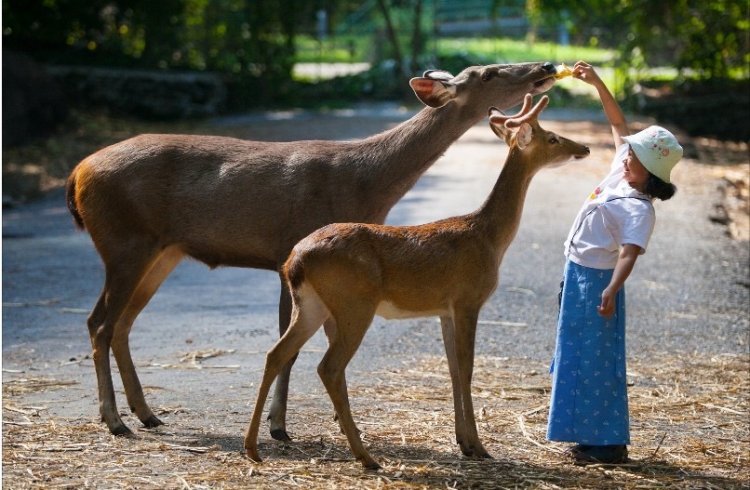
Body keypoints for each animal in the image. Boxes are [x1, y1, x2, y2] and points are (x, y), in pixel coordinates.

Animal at [69, 61, 564, 436]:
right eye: (489, 73)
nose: (545, 67)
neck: (368, 182)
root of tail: (78, 173)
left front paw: (298, 423)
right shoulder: (291, 251)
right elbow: (291, 344)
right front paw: (279, 426)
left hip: (163, 252)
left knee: (120, 324)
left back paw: (146, 414)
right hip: (125, 241)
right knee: (100, 323)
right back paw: (115, 420)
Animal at [247, 94, 592, 468]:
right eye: (553, 138)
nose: (584, 148)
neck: (488, 236)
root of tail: (295, 259)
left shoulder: (444, 310)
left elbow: (453, 369)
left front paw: (464, 442)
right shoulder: (468, 299)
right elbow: (467, 369)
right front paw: (479, 447)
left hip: (311, 304)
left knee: (276, 353)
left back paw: (253, 448)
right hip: (353, 304)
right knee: (329, 367)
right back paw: (365, 456)